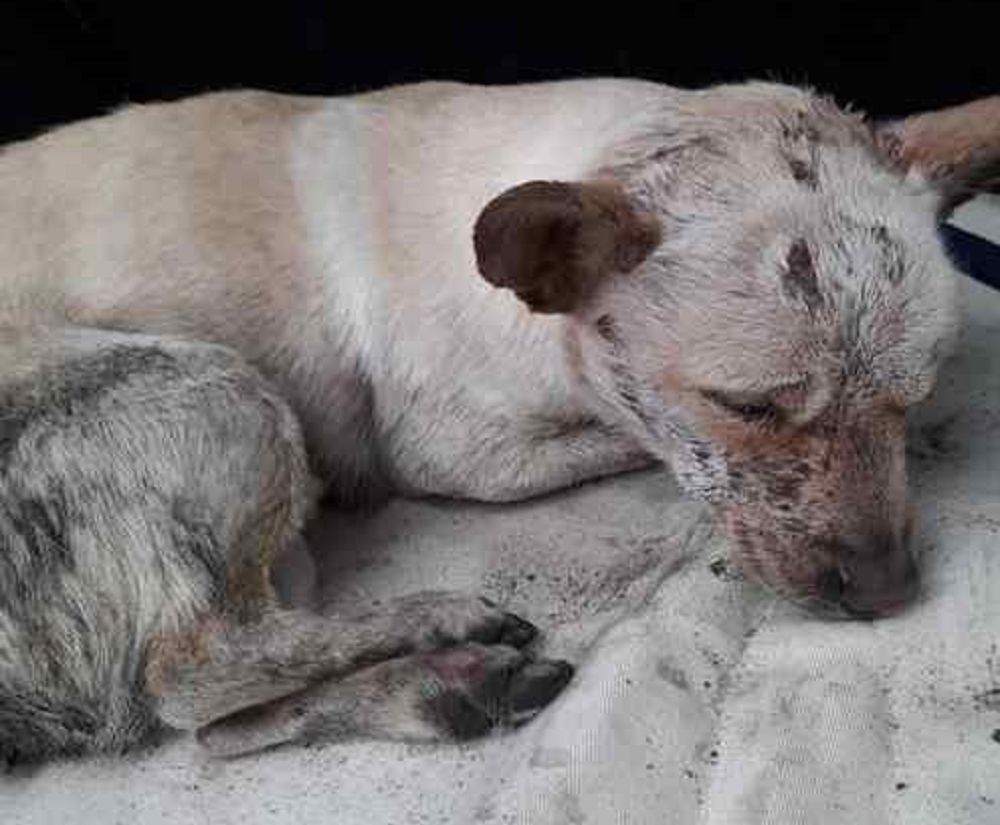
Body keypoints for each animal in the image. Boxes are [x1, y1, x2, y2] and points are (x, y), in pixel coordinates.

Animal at [1, 77, 1000, 760]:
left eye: (915, 394)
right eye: (745, 405)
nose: (888, 591)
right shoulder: (461, 453)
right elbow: (637, 448)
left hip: (282, 532)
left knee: (213, 717)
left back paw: (432, 690)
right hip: (220, 391)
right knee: (191, 670)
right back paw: (435, 622)